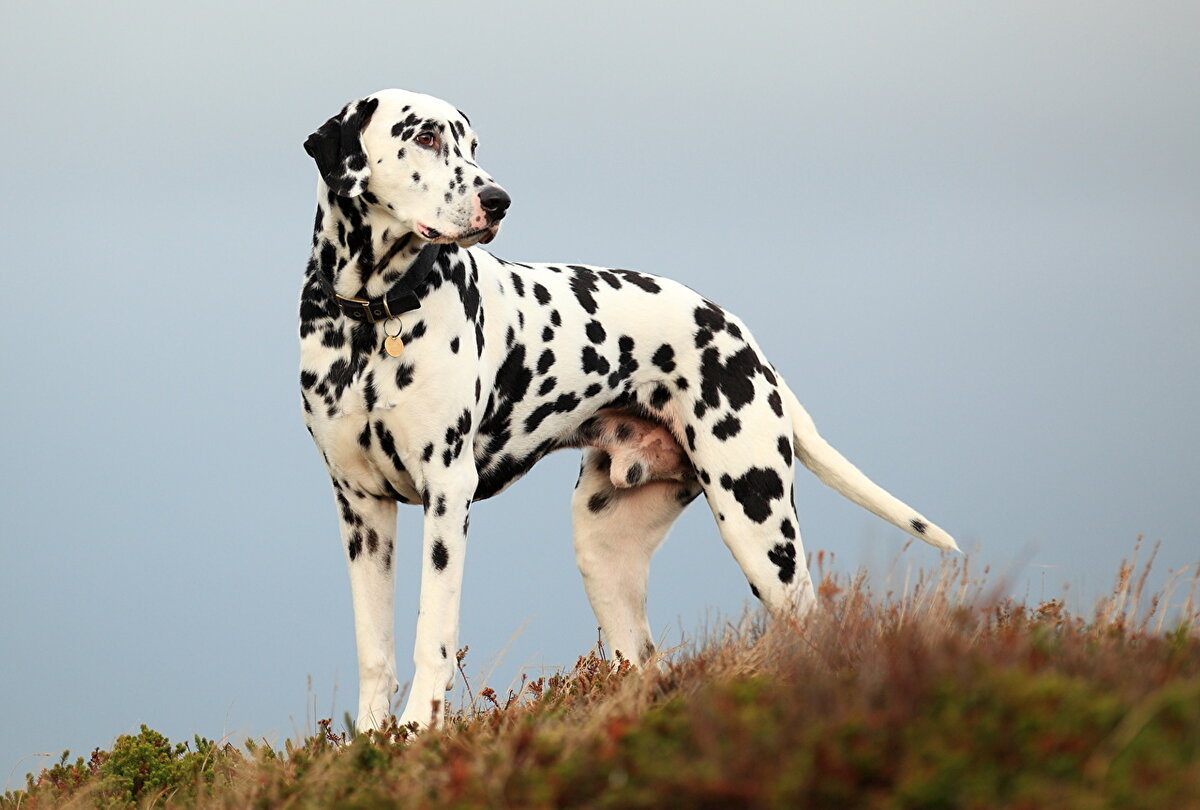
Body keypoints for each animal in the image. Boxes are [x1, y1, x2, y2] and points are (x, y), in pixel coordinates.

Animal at [300, 90, 955, 734]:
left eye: (473, 144)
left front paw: (417, 732)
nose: (498, 200)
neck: (372, 321)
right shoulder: (361, 509)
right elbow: (375, 648)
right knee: (641, 661)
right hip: (605, 550)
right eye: (426, 136)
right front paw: (371, 740)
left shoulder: (447, 492)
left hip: (760, 525)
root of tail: (739, 332)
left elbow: (431, 634)